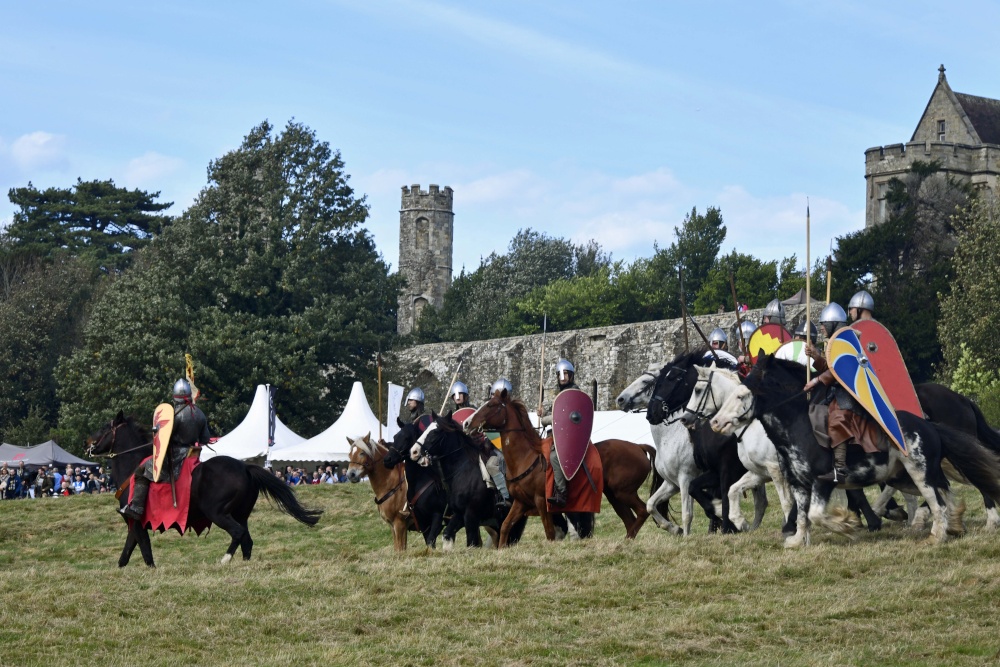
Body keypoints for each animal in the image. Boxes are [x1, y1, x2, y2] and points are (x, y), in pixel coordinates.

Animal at [88, 412, 320, 568]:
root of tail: (245, 467)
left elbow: (143, 547)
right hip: (240, 514)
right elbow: (128, 550)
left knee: (238, 533)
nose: (87, 443)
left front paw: (152, 569)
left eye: (104, 427)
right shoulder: (133, 523)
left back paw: (225, 560)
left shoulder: (135, 519)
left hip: (217, 513)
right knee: (246, 540)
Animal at [412, 414, 528, 552]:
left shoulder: (471, 515)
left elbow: (471, 542)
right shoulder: (459, 514)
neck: (463, 471)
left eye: (435, 432)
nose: (413, 451)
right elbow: (447, 534)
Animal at [462, 388, 664, 544]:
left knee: (642, 511)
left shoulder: (541, 502)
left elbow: (549, 533)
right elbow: (505, 527)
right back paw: (626, 542)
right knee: (630, 519)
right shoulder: (520, 503)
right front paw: (502, 548)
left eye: (491, 405)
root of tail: (638, 446)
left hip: (624, 492)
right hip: (614, 495)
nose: (466, 423)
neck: (526, 456)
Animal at [708, 354, 1000, 548]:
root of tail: (930, 426)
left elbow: (815, 514)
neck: (798, 425)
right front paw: (798, 540)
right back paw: (954, 525)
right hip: (907, 476)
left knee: (938, 501)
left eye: (741, 395)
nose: (715, 423)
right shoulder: (799, 484)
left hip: (920, 473)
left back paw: (938, 535)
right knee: (945, 493)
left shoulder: (823, 481)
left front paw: (847, 525)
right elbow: (802, 515)